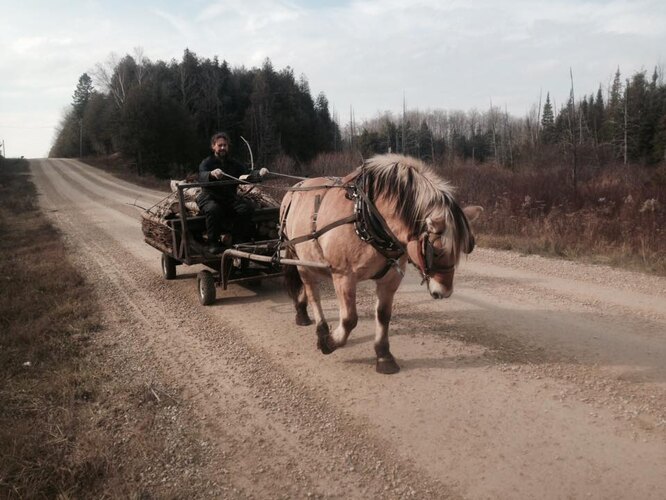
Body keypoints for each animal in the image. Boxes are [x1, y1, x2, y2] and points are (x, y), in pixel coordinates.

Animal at [278, 154, 480, 374]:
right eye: (435, 250)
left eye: (464, 249)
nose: (445, 292)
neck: (365, 216)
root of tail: (294, 188)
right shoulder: (343, 276)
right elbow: (349, 319)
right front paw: (329, 342)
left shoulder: (390, 278)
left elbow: (383, 315)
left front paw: (384, 356)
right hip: (301, 261)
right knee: (313, 293)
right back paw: (320, 329)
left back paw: (302, 312)